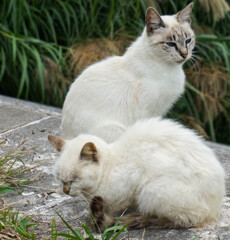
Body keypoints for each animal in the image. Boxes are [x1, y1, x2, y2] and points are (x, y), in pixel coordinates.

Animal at [47, 118, 226, 231]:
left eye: (75, 178)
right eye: (60, 178)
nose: (66, 190)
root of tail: (214, 211)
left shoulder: (130, 183)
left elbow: (112, 207)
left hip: (151, 191)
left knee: (180, 221)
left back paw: (141, 218)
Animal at [62, 3, 195, 142]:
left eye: (188, 40)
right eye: (170, 44)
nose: (184, 54)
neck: (168, 67)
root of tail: (66, 138)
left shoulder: (159, 110)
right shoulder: (147, 111)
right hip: (116, 129)